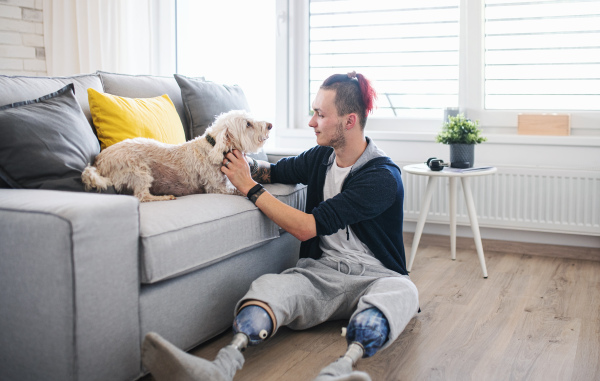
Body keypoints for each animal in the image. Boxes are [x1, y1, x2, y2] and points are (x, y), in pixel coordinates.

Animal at [82, 110, 272, 202]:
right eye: (248, 124)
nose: (270, 125)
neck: (211, 147)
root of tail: (99, 162)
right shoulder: (216, 188)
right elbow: (237, 190)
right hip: (139, 170)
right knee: (142, 196)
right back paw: (164, 197)